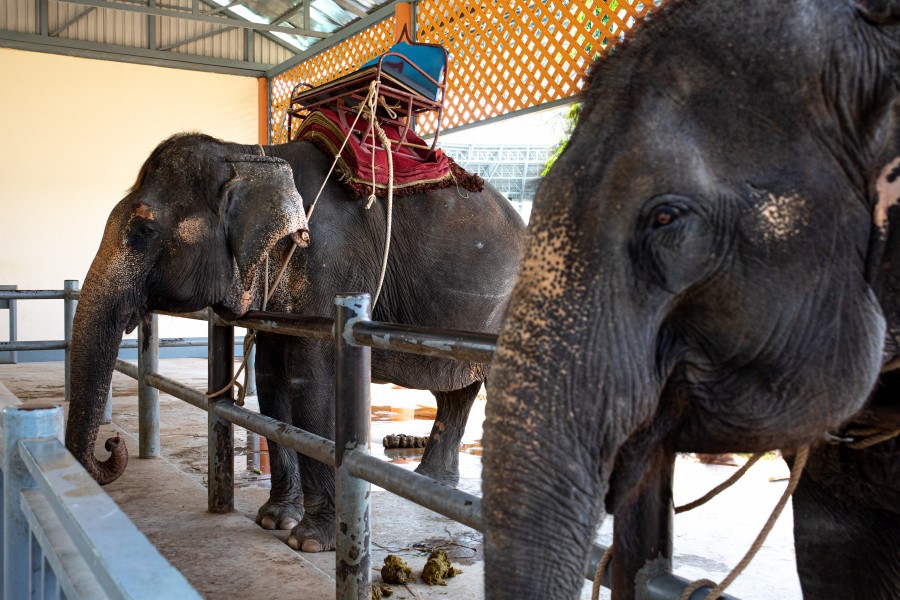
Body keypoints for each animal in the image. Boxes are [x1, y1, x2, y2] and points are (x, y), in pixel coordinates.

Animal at [67, 132, 524, 552]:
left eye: (143, 230)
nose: (112, 442)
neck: (251, 155)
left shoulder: (332, 266)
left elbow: (313, 386)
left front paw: (311, 541)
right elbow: (272, 384)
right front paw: (275, 519)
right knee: (456, 391)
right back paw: (432, 484)